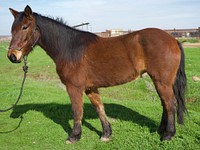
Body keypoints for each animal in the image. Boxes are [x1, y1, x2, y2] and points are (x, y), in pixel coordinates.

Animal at [7, 5, 186, 143]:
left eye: (25, 27)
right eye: (12, 29)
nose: (12, 56)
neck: (69, 48)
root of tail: (173, 39)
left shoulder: (74, 88)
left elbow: (77, 111)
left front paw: (74, 136)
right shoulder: (90, 88)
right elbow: (99, 108)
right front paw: (106, 134)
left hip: (162, 81)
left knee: (170, 104)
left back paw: (168, 135)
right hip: (159, 81)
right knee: (164, 103)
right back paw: (161, 130)